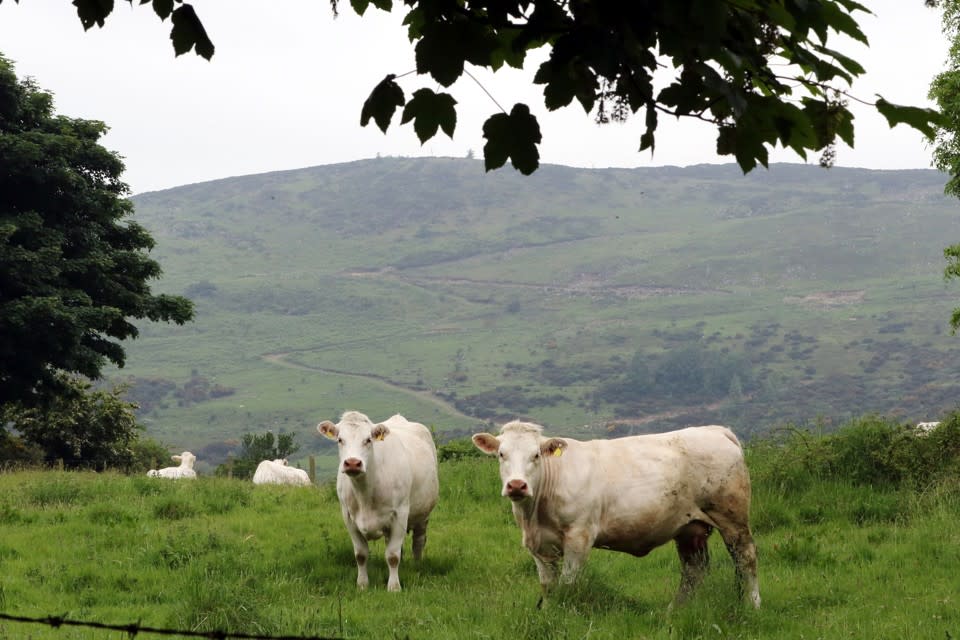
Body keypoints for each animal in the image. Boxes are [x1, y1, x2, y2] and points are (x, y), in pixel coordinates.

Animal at [318, 412, 438, 592]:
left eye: (368, 440)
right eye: (340, 439)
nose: (352, 463)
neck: (365, 494)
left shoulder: (400, 514)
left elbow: (393, 556)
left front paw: (394, 587)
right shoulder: (349, 517)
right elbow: (361, 555)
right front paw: (362, 584)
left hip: (423, 515)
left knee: (418, 542)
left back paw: (417, 566)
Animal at [470, 422, 756, 608]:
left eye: (536, 455)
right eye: (501, 454)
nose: (517, 485)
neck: (535, 515)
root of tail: (715, 430)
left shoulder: (579, 536)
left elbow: (568, 583)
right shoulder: (538, 545)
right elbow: (548, 586)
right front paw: (549, 612)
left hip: (732, 518)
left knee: (746, 558)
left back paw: (751, 605)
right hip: (689, 528)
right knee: (694, 569)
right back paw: (675, 610)